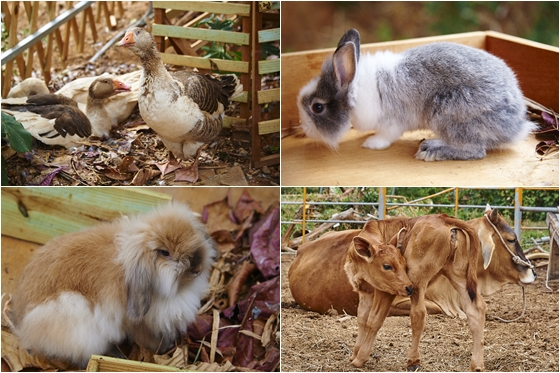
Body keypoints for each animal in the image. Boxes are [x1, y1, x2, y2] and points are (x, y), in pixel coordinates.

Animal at [11, 202, 217, 364]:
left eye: (193, 234)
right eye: (164, 253)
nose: (197, 268)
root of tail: (21, 322)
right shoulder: (141, 324)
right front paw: (164, 347)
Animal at [296, 28, 536, 160]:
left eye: (317, 107)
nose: (304, 129)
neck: (354, 91)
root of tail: (516, 125)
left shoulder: (393, 122)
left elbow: (386, 136)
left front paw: (371, 143)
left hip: (448, 114)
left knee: (475, 150)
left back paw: (432, 150)